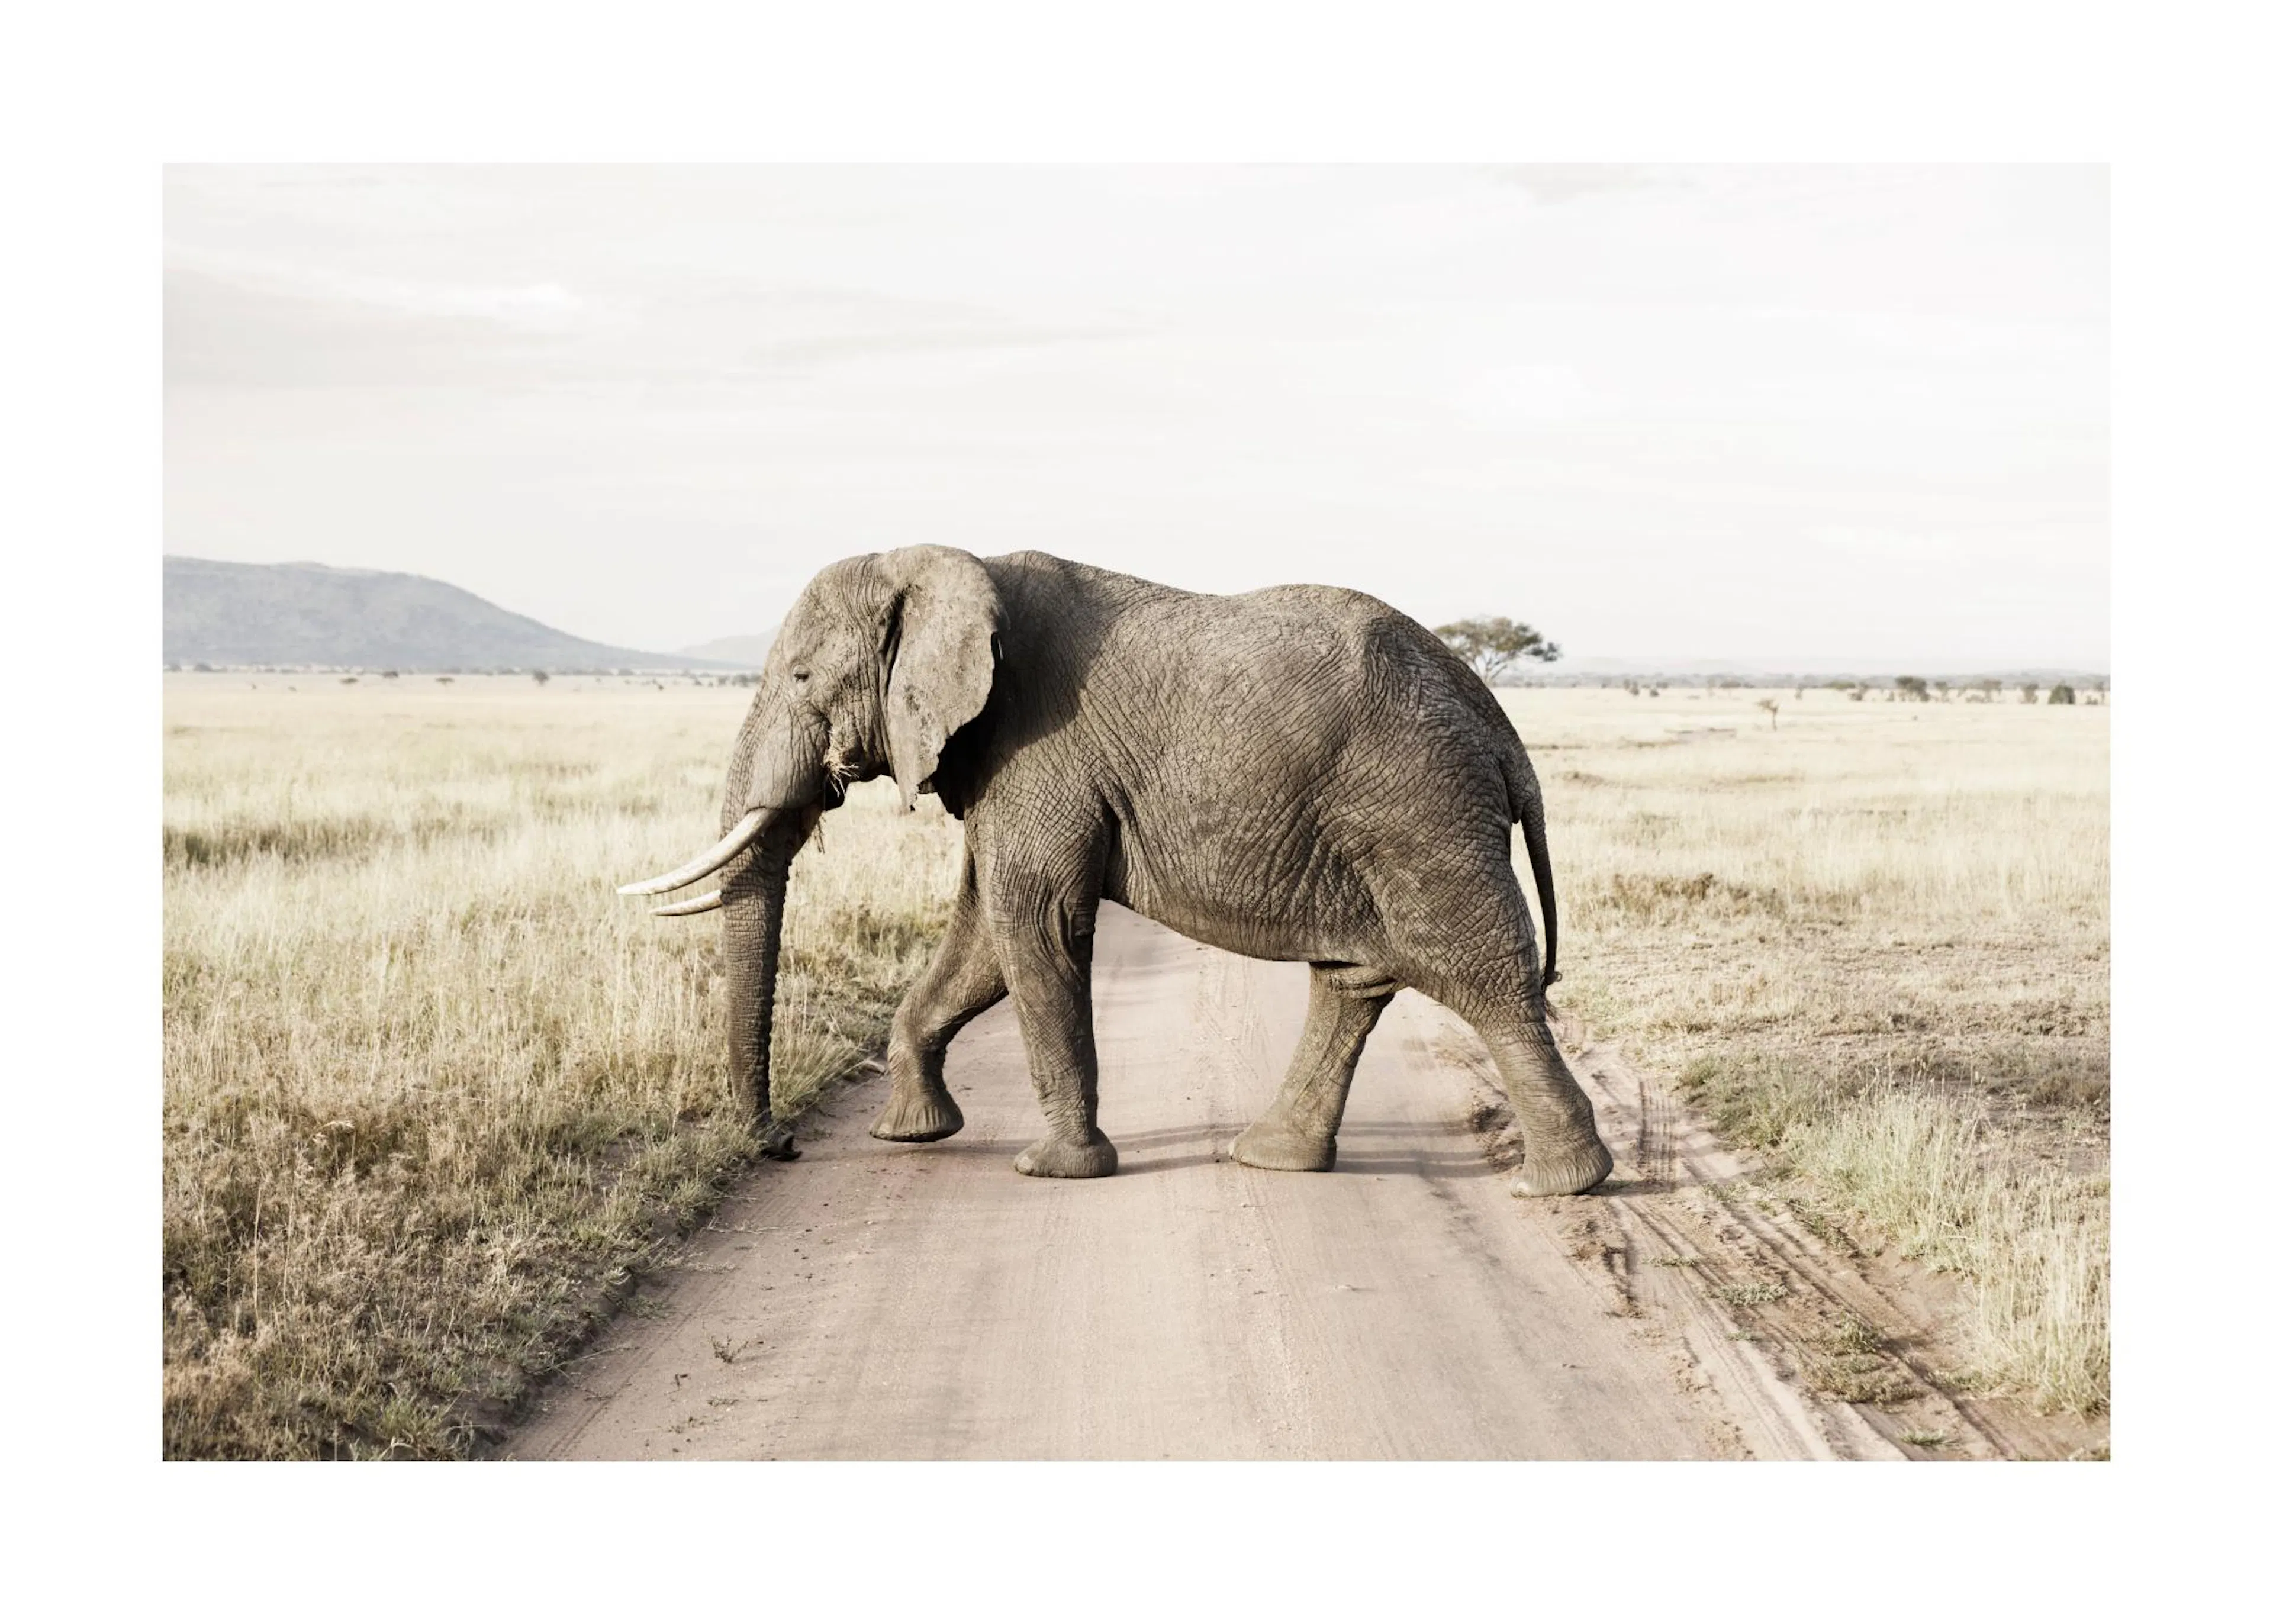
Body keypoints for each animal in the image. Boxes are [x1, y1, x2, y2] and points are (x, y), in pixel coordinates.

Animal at [620, 547, 1613, 1197]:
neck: (946, 561)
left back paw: (1561, 1185)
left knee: (1480, 977)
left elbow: (1031, 923)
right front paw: (911, 1133)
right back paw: (1273, 1159)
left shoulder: (1039, 750)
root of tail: (1500, 727)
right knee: (1353, 980)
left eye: (799, 678)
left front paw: (1054, 1171)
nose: (781, 1145)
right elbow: (984, 939)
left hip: (1419, 809)